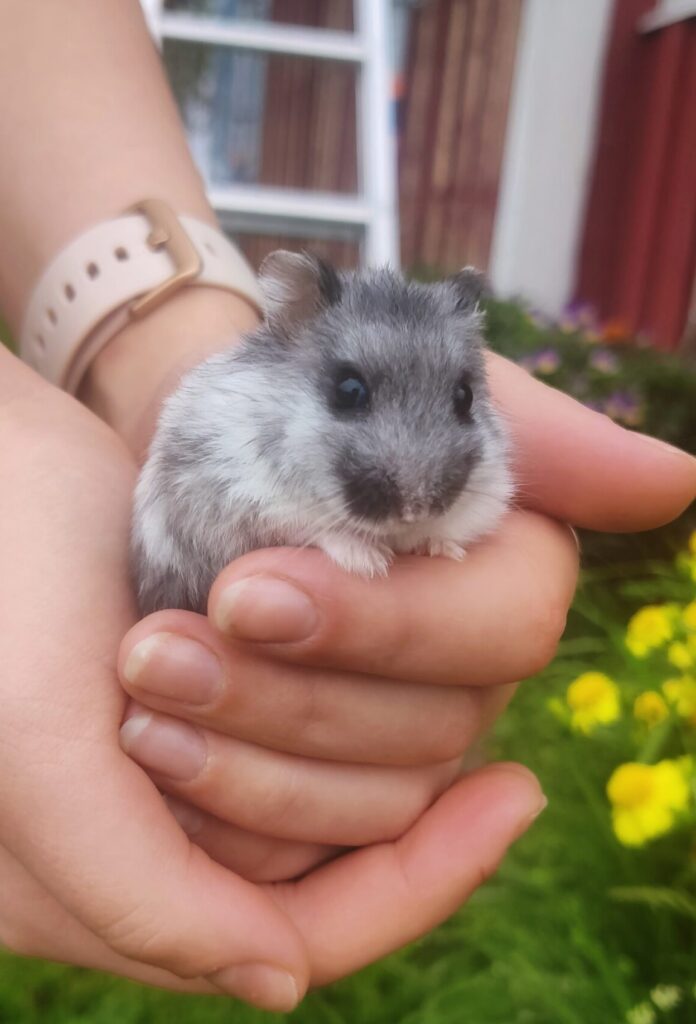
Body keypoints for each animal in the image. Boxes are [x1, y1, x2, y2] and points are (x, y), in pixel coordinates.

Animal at [132, 251, 513, 614]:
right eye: (349, 391)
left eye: (465, 397)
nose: (414, 510)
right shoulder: (241, 499)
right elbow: (313, 528)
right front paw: (370, 563)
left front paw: (446, 550)